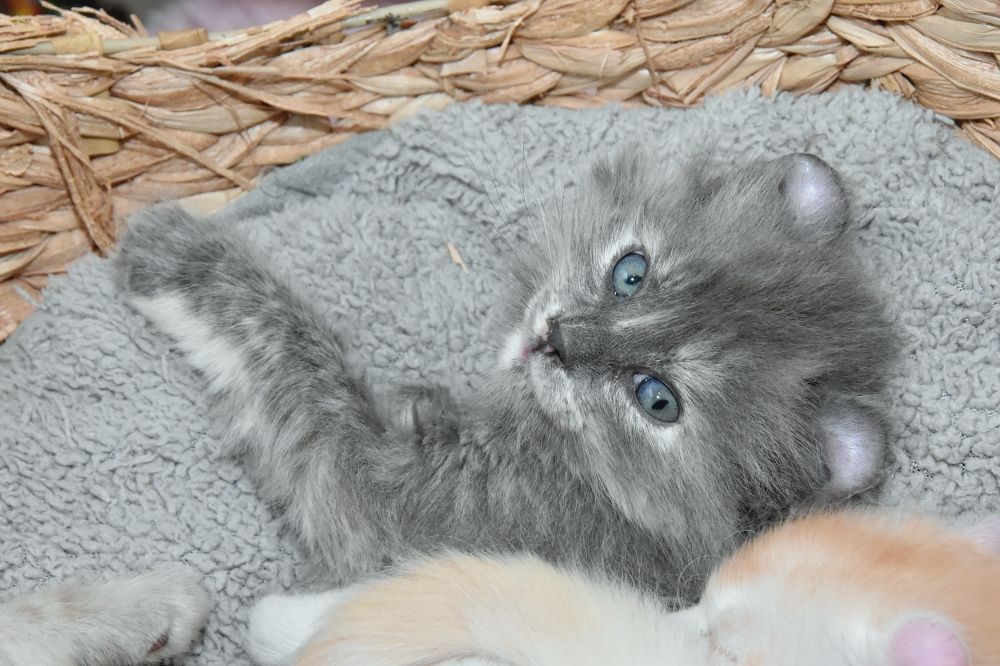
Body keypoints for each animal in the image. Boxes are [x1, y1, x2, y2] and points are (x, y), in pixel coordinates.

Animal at [114, 147, 896, 602]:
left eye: (657, 399)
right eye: (631, 273)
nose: (558, 340)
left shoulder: (380, 492)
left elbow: (294, 348)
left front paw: (167, 250)